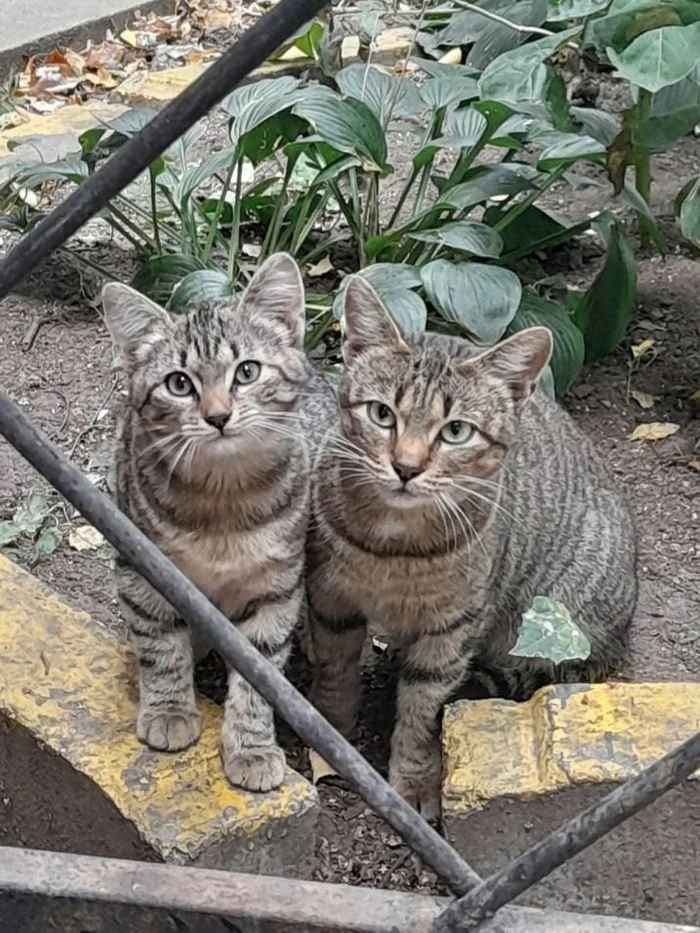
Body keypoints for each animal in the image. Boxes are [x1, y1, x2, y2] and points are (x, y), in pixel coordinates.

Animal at [100, 251, 308, 792]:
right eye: (179, 383)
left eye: (247, 372)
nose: (218, 415)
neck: (223, 503)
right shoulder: (144, 569)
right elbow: (160, 643)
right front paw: (169, 709)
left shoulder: (279, 587)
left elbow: (261, 675)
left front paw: (252, 746)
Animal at [304, 274, 636, 816]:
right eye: (381, 414)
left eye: (456, 430)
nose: (406, 466)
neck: (393, 547)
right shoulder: (331, 597)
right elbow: (335, 670)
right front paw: (329, 729)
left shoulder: (452, 628)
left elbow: (422, 710)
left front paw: (415, 778)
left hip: (560, 623)